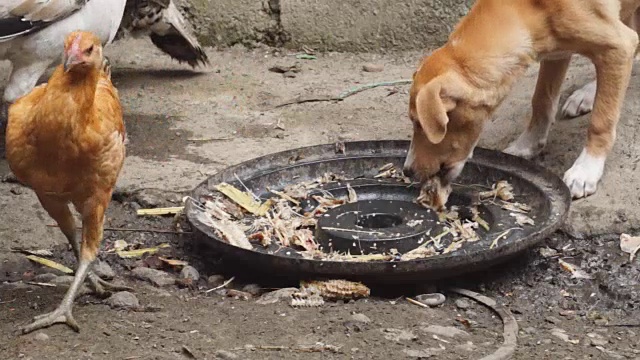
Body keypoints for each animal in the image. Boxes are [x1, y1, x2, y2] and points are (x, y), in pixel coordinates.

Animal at [404, 0, 640, 202]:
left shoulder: (618, 45)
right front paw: (527, 145)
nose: (407, 171)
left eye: (420, 124)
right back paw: (589, 94)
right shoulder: (556, 52)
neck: (528, 10)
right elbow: (542, 101)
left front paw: (587, 169)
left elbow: (601, 121)